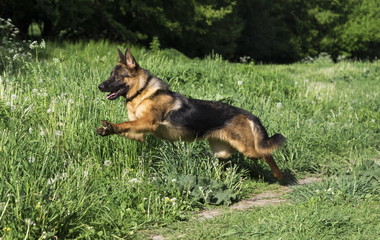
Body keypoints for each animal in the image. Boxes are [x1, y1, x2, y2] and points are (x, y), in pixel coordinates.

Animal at [97, 49, 284, 180]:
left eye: (117, 76)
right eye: (110, 75)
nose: (99, 86)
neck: (142, 92)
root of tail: (247, 114)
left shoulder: (147, 122)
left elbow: (125, 123)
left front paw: (111, 125)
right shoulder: (139, 133)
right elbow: (124, 127)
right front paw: (108, 129)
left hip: (248, 149)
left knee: (266, 154)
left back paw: (279, 174)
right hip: (223, 151)